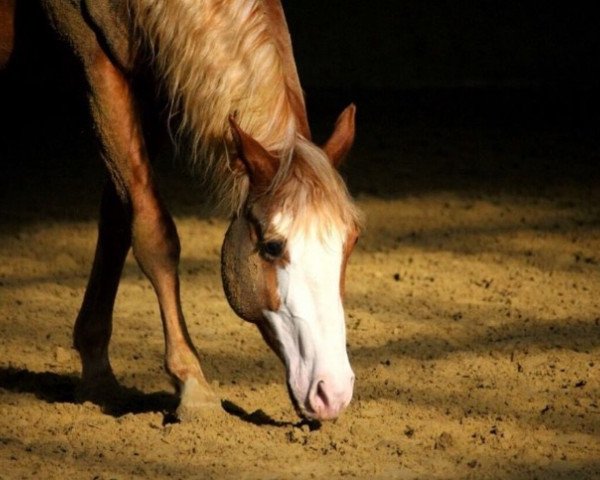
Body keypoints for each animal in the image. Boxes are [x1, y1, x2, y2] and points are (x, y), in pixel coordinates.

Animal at [0, 0, 360, 420]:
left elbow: (120, 219)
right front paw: (193, 383)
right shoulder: (95, 57)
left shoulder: (155, 79)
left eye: (351, 242)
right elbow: (154, 232)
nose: (332, 392)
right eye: (273, 246)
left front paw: (97, 376)